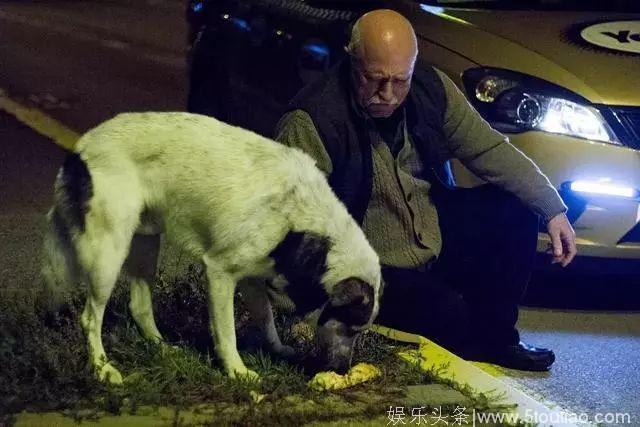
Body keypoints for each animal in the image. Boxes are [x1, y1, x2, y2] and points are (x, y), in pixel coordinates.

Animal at [42, 111, 382, 384]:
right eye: (350, 327)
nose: (342, 369)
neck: (305, 222)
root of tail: (80, 148)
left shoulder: (253, 277)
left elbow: (266, 320)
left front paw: (277, 350)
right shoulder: (220, 272)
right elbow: (227, 332)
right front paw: (236, 371)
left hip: (146, 243)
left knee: (138, 306)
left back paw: (162, 348)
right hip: (109, 254)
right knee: (90, 318)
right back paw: (102, 368)